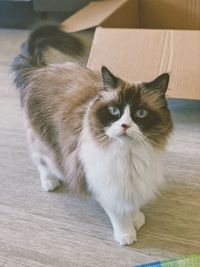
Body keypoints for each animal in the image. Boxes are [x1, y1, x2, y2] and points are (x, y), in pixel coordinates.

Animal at [11, 25, 173, 247]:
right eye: (114, 111)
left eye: (141, 114)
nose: (124, 125)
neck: (128, 154)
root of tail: (39, 70)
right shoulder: (105, 184)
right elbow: (119, 214)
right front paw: (126, 235)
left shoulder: (133, 181)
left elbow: (132, 204)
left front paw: (137, 218)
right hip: (42, 140)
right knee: (41, 161)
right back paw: (50, 183)